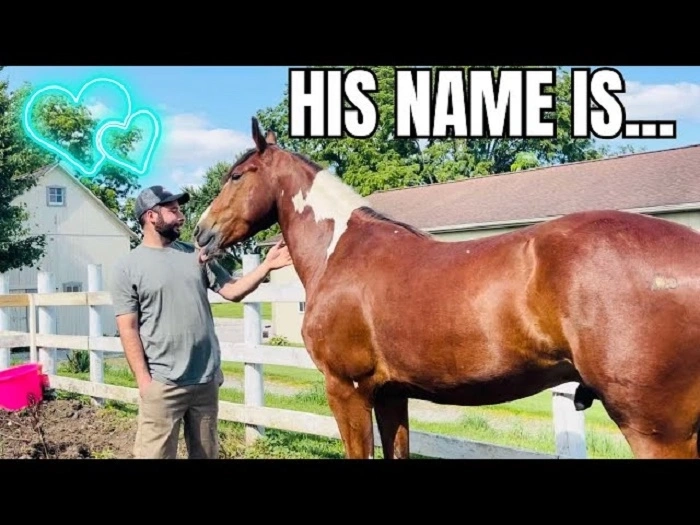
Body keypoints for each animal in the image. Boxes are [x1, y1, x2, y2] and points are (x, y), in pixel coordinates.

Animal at [194, 117, 700, 459]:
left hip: (656, 429)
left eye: (236, 176)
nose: (201, 233)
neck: (340, 251)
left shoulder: (346, 389)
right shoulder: (391, 393)